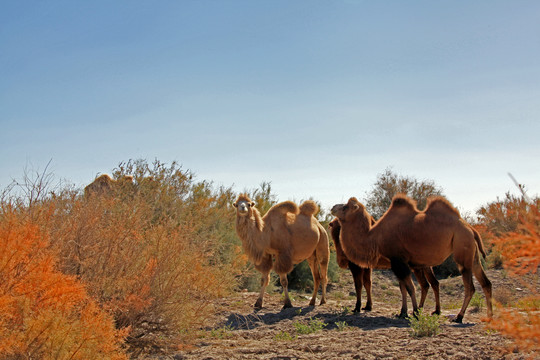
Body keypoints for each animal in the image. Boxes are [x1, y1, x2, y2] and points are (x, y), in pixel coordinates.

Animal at [332, 195, 492, 322]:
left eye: (345, 207)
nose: (333, 207)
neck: (374, 237)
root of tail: (470, 228)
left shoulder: (398, 261)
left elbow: (409, 287)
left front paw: (414, 312)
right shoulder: (397, 263)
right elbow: (403, 288)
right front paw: (403, 312)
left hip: (462, 250)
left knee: (469, 287)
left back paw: (459, 317)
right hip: (472, 255)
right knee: (485, 283)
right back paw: (489, 316)